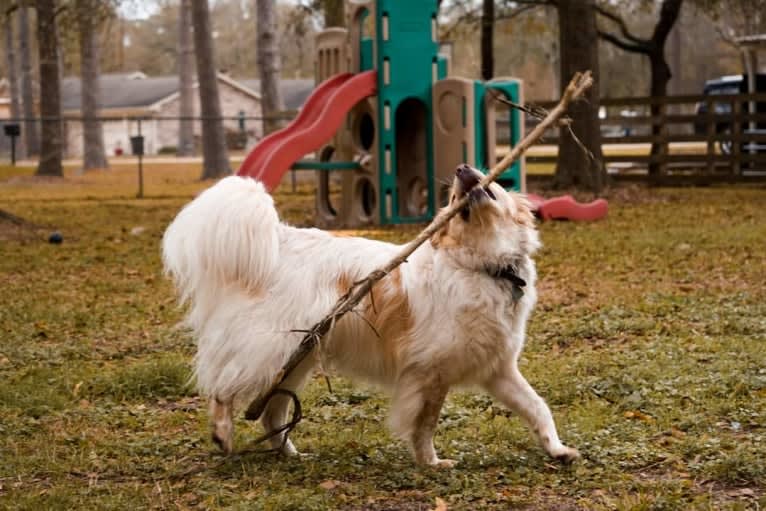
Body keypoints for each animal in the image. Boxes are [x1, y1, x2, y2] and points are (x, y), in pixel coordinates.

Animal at [164, 167, 584, 468]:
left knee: (272, 413)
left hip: (296, 360)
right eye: (452, 197)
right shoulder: (431, 374)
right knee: (224, 386)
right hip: (268, 350)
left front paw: (557, 450)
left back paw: (291, 455)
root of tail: (279, 241)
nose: (462, 168)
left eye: (484, 176)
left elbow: (537, 407)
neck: (483, 267)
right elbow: (425, 425)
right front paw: (431, 463)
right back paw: (223, 433)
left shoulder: (499, 370)